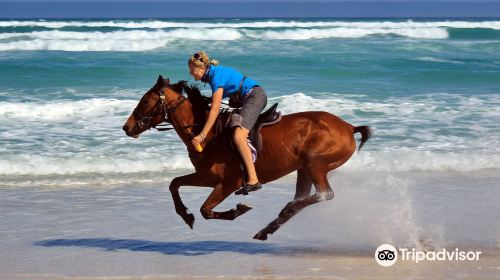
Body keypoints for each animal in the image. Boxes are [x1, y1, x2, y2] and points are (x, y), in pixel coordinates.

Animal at [121, 76, 372, 241]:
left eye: (145, 101)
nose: (127, 127)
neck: (206, 132)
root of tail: (349, 127)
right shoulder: (207, 178)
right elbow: (175, 184)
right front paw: (185, 215)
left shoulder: (227, 184)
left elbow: (205, 210)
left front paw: (237, 210)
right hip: (304, 169)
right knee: (305, 197)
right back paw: (268, 227)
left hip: (315, 164)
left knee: (324, 194)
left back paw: (283, 211)